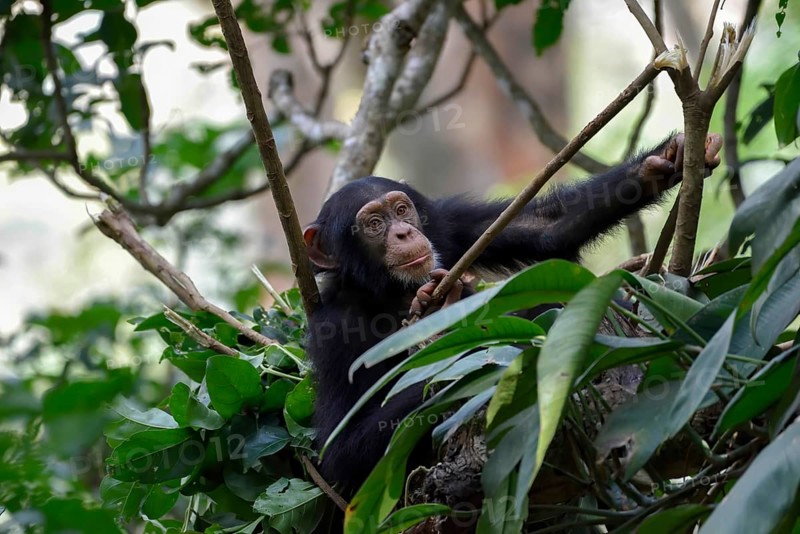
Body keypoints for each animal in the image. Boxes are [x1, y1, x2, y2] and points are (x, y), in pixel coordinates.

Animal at [303, 133, 722, 489]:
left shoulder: (448, 225)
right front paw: (449, 328)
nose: (404, 233)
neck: (391, 291)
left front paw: (661, 161)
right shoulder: (332, 331)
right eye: (374, 224)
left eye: (402, 210)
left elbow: (545, 228)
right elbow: (341, 455)